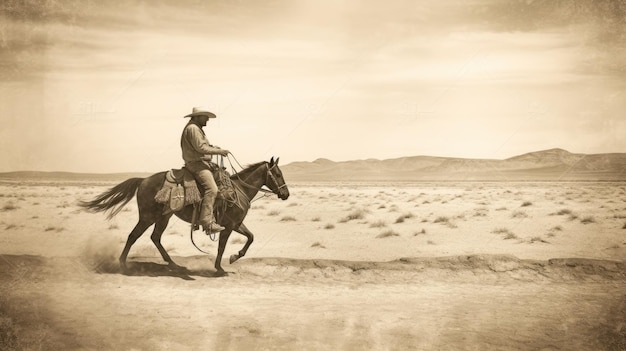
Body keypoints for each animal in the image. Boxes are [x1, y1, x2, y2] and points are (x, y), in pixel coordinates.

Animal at [78, 158, 290, 276]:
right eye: (278, 174)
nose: (286, 194)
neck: (239, 190)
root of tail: (143, 180)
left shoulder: (236, 224)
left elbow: (251, 237)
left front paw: (234, 257)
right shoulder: (229, 225)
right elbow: (222, 246)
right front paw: (220, 267)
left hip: (163, 217)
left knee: (155, 238)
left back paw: (174, 265)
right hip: (148, 216)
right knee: (133, 236)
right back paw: (123, 265)